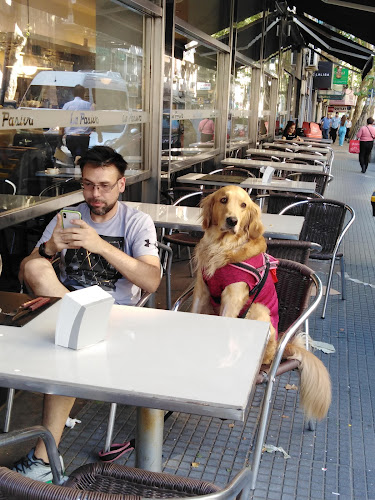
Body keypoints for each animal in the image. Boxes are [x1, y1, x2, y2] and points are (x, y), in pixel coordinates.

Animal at [194, 186, 332, 420]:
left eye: (243, 205)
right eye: (223, 200)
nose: (232, 221)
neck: (222, 246)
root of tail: (280, 346)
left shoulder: (234, 296)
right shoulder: (201, 291)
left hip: (259, 311)